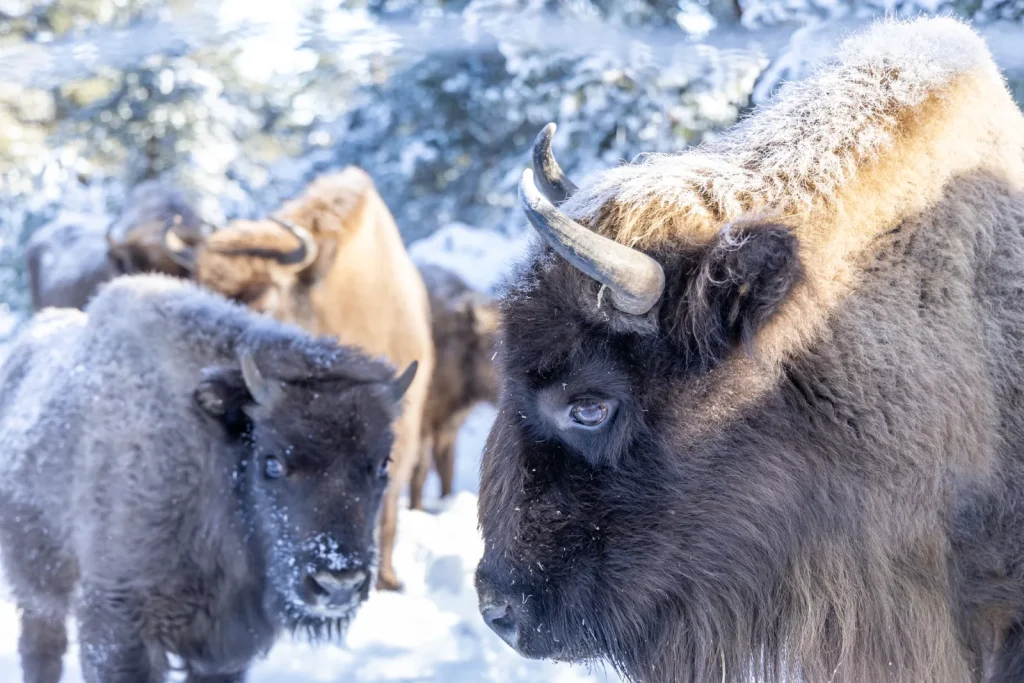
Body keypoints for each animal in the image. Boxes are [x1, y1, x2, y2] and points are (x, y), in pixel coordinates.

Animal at [0, 274, 416, 683]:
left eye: (383, 463)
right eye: (272, 462)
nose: (339, 584)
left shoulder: (224, 649)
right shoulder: (117, 625)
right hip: (38, 591)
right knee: (42, 650)